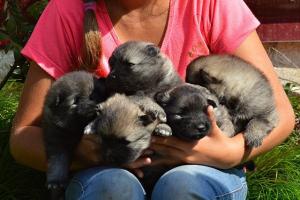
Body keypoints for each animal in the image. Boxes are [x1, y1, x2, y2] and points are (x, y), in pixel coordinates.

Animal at [42, 70, 108, 198]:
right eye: (75, 100)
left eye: (95, 94)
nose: (97, 106)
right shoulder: (56, 138)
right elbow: (58, 160)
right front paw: (55, 183)